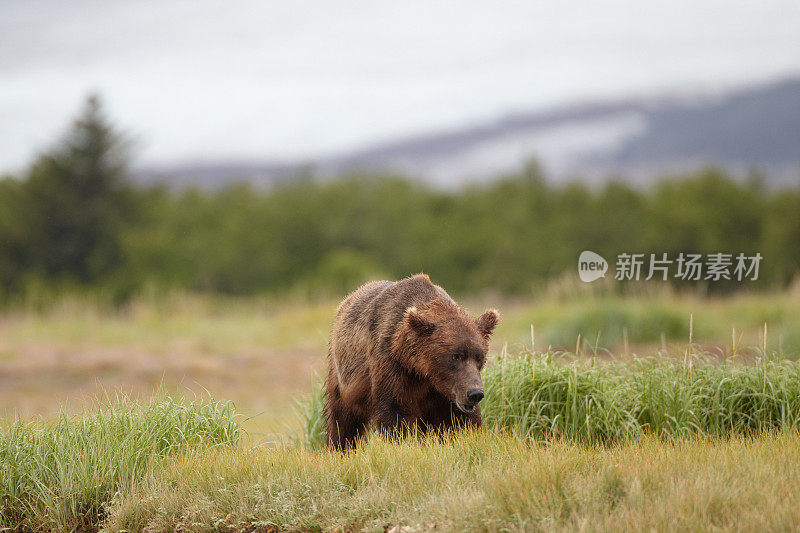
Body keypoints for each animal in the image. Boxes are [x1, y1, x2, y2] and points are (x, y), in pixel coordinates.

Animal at [324, 274, 500, 448]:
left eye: (480, 357)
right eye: (456, 356)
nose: (475, 393)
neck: (422, 370)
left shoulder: (445, 391)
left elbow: (461, 419)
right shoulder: (391, 363)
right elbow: (395, 410)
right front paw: (401, 442)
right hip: (344, 376)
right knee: (343, 418)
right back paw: (341, 446)